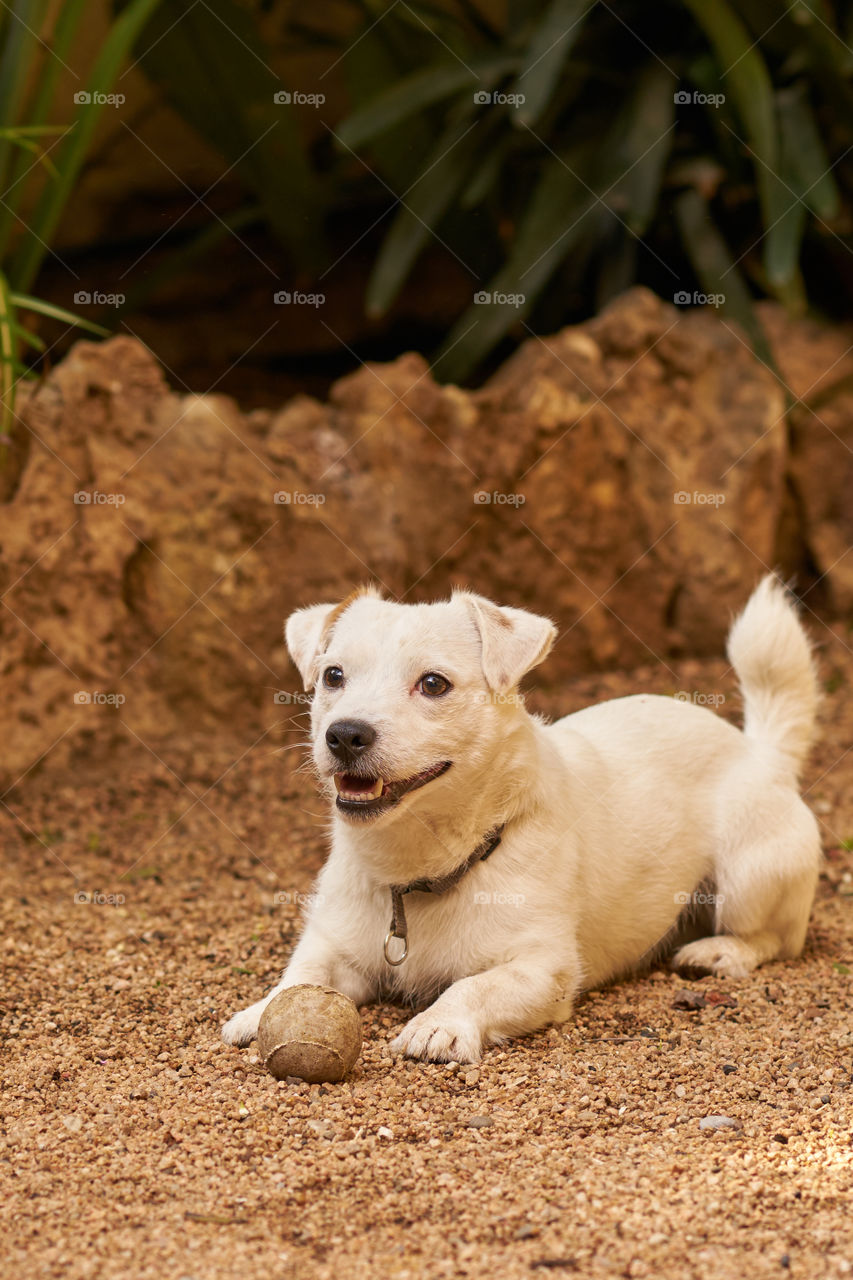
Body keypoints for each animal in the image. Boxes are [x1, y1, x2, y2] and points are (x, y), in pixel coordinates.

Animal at [222, 578, 819, 1059]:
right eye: (333, 676)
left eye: (433, 683)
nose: (344, 734)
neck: (419, 869)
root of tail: (760, 750)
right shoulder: (334, 946)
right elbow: (299, 977)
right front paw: (261, 1010)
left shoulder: (543, 969)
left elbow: (471, 986)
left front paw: (437, 1024)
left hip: (750, 879)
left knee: (773, 940)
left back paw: (719, 951)